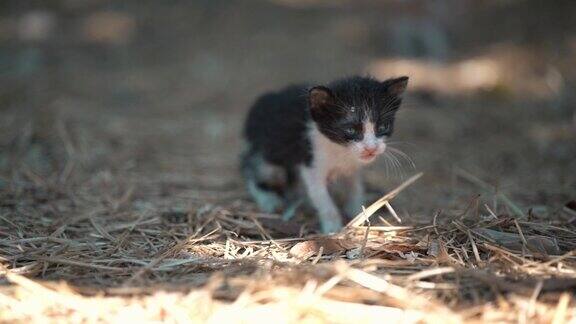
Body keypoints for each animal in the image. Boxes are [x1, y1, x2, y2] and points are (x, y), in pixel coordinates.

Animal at [241, 76, 408, 233]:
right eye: (350, 130)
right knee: (249, 168)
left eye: (383, 127)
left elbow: (355, 187)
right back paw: (267, 199)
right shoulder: (311, 164)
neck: (341, 150)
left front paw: (358, 212)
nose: (371, 148)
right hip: (268, 157)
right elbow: (322, 198)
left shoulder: (353, 166)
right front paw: (333, 228)